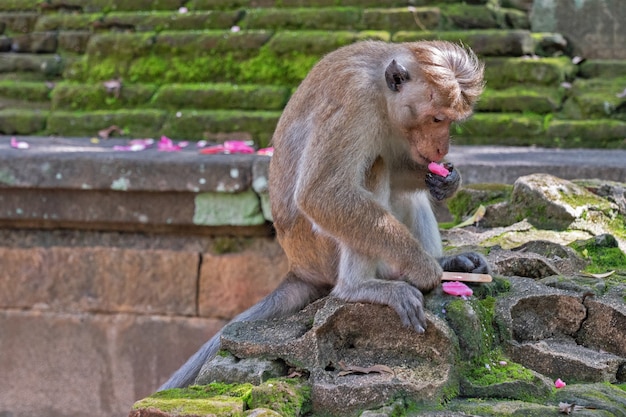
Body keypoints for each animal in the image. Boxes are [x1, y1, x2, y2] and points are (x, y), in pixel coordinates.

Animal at [158, 39, 490, 390]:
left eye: (450, 121)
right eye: (437, 118)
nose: (442, 149)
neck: (381, 95)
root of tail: (299, 267)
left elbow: (402, 170)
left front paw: (448, 180)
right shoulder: (354, 103)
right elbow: (322, 194)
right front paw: (422, 267)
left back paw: (447, 262)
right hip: (319, 248)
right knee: (373, 168)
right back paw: (360, 286)